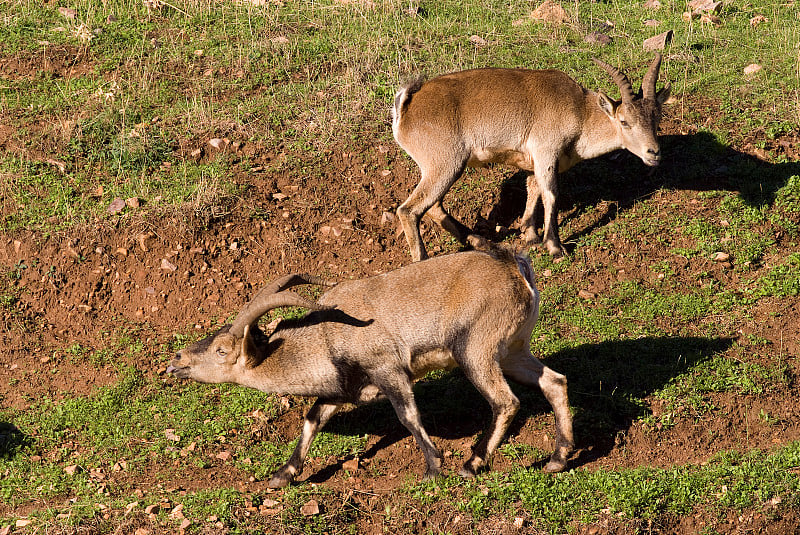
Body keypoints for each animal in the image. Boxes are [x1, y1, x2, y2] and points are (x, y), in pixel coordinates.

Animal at [166, 243, 572, 490]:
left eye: (222, 350)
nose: (177, 361)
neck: (327, 336)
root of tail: (516, 268)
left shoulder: (389, 371)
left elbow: (408, 417)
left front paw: (433, 467)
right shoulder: (342, 389)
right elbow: (313, 418)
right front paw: (283, 474)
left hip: (476, 350)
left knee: (506, 402)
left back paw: (472, 463)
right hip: (514, 350)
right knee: (555, 382)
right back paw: (558, 458)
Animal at [390, 53, 672, 260]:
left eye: (656, 117)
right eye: (624, 121)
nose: (654, 153)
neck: (579, 111)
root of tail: (407, 107)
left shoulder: (532, 160)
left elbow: (533, 189)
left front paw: (531, 235)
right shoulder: (546, 151)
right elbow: (551, 194)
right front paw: (555, 246)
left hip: (437, 168)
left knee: (433, 207)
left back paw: (481, 242)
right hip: (446, 164)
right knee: (409, 210)